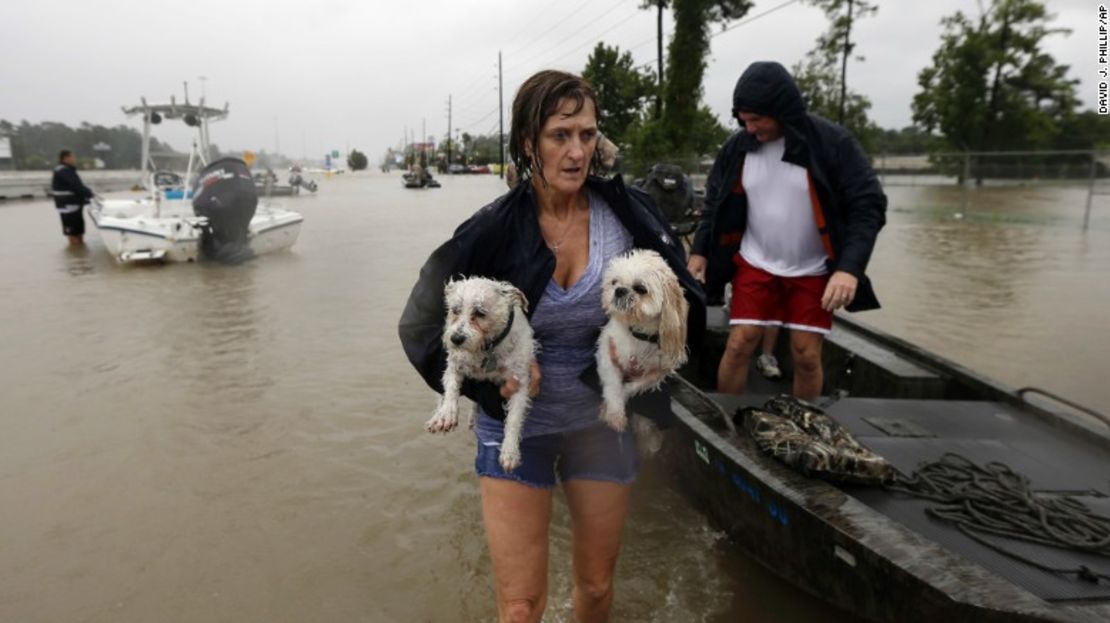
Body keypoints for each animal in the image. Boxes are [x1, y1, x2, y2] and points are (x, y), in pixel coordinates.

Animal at [421, 276, 535, 470]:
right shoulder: (454, 364)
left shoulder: (519, 382)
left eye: (480, 312)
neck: (487, 348)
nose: (456, 339)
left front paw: (510, 451)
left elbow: (513, 419)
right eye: (455, 310)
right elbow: (451, 389)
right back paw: (439, 416)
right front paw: (447, 413)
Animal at [599, 249, 683, 435]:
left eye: (641, 289)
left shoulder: (659, 371)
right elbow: (613, 387)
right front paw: (615, 414)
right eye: (614, 282)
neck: (637, 335)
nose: (619, 290)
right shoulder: (608, 353)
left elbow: (634, 386)